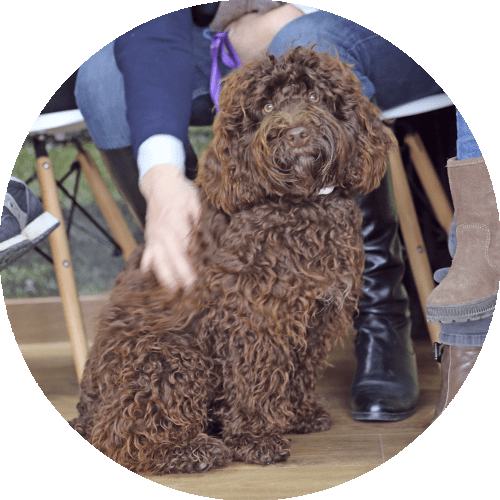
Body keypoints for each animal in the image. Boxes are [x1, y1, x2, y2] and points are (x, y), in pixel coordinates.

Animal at [69, 47, 394, 476]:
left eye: (315, 97)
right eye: (268, 106)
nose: (296, 133)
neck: (301, 204)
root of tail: (85, 412)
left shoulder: (313, 318)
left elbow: (300, 370)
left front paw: (300, 415)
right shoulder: (253, 318)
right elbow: (254, 382)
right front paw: (257, 439)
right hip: (171, 357)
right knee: (120, 435)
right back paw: (190, 451)